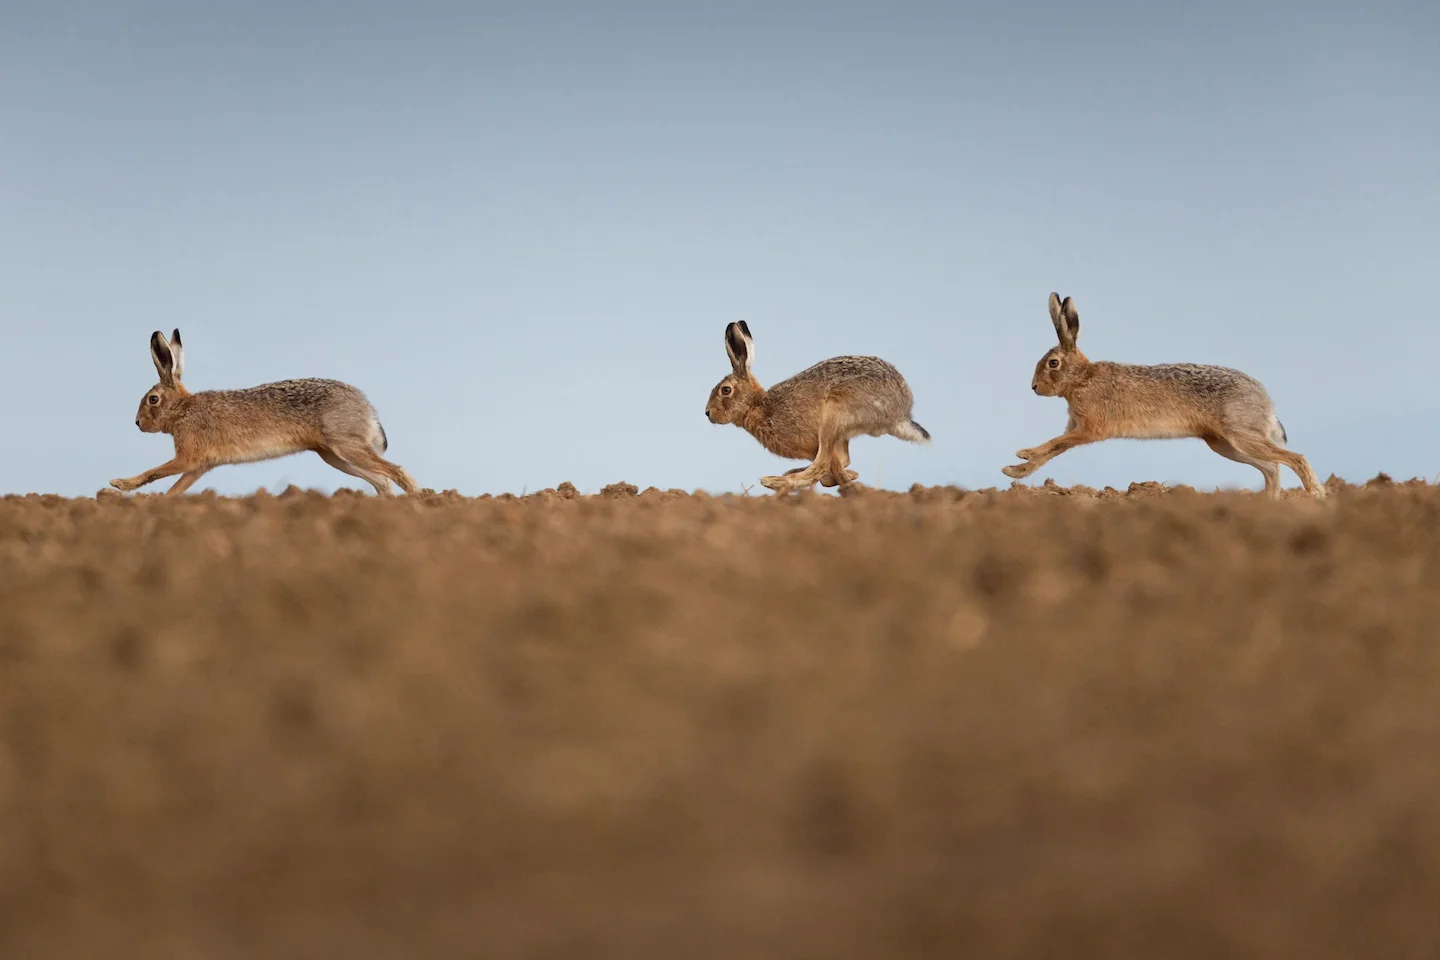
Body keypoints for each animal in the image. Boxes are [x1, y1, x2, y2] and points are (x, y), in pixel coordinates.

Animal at [110, 329, 419, 497]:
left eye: (152, 399)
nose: (137, 423)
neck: (182, 410)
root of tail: (367, 407)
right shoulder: (200, 466)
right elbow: (175, 489)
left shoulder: (189, 457)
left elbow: (154, 473)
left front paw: (119, 484)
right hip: (334, 455)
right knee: (381, 479)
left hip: (346, 445)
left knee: (396, 471)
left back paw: (419, 498)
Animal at [705, 321, 930, 493]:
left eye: (725, 390)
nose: (707, 413)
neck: (758, 405)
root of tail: (900, 411)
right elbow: (839, 463)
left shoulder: (815, 441)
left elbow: (830, 464)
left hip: (835, 413)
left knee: (821, 464)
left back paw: (776, 481)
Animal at [1002, 293, 1326, 498]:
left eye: (1053, 363)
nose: (1034, 387)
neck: (1082, 378)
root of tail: (1266, 401)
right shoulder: (1077, 428)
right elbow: (1054, 450)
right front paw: (1015, 470)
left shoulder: (1089, 429)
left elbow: (1055, 444)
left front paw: (1022, 454)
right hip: (1224, 444)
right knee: (1271, 468)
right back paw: (1269, 504)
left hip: (1241, 435)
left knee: (1293, 459)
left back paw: (1316, 494)